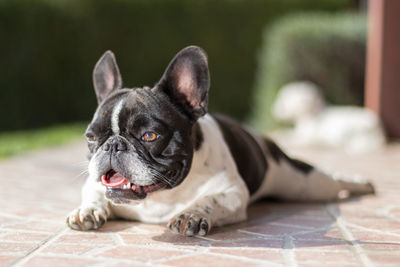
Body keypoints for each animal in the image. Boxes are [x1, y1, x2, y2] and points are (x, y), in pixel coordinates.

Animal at [66, 45, 376, 237]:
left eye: (149, 136)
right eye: (91, 137)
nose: (113, 145)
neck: (162, 196)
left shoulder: (232, 192)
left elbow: (210, 199)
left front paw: (191, 214)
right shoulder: (95, 184)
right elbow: (94, 193)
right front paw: (87, 211)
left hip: (305, 185)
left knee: (331, 181)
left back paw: (360, 184)